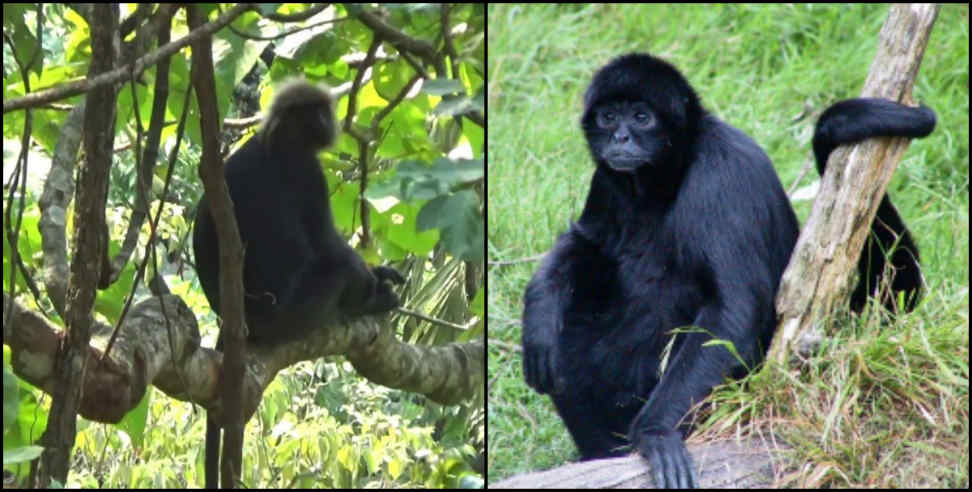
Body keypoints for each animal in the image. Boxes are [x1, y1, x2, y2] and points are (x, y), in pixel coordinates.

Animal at [192, 80, 404, 488]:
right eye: (318, 112)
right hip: (294, 312)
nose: (331, 122)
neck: (276, 143)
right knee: (335, 268)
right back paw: (366, 301)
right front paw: (375, 287)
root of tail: (239, 322)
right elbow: (325, 244)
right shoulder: (307, 171)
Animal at [520, 54, 936, 488]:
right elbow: (588, 243)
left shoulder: (721, 175)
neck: (672, 174)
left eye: (641, 117)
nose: (619, 138)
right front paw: (539, 308)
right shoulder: (606, 179)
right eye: (608, 116)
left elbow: (731, 310)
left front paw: (655, 432)